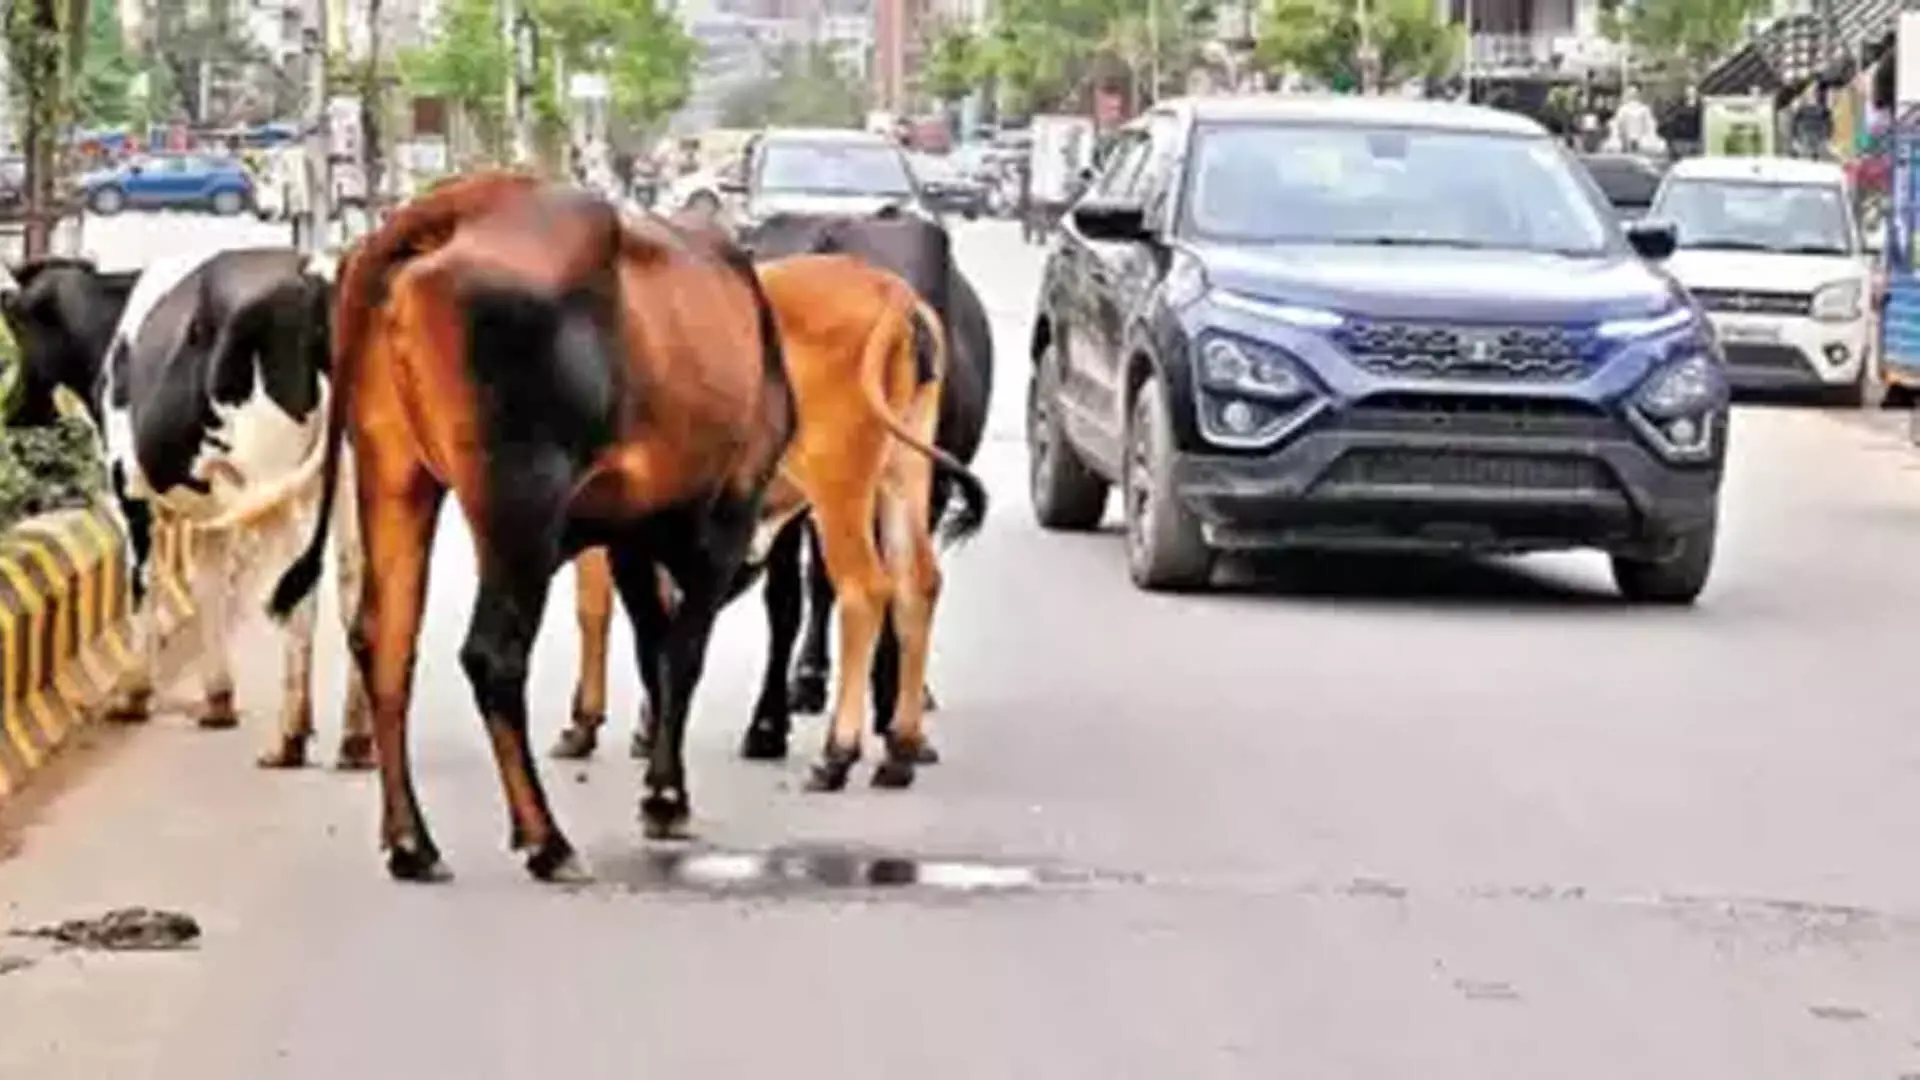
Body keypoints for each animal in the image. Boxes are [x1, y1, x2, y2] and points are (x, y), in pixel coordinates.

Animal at [0, 245, 370, 764]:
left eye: (14, 320)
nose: (12, 411)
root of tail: (314, 275)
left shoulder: (127, 485)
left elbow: (143, 582)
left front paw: (134, 694)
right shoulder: (216, 502)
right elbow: (208, 585)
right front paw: (218, 700)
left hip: (274, 483)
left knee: (301, 591)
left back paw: (288, 738)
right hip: (351, 476)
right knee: (356, 585)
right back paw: (357, 740)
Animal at [545, 205, 990, 760]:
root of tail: (895, 296)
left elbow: (605, 609)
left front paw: (597, 723)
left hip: (841, 488)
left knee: (861, 589)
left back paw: (837, 748)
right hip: (901, 477)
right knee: (911, 582)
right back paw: (896, 735)